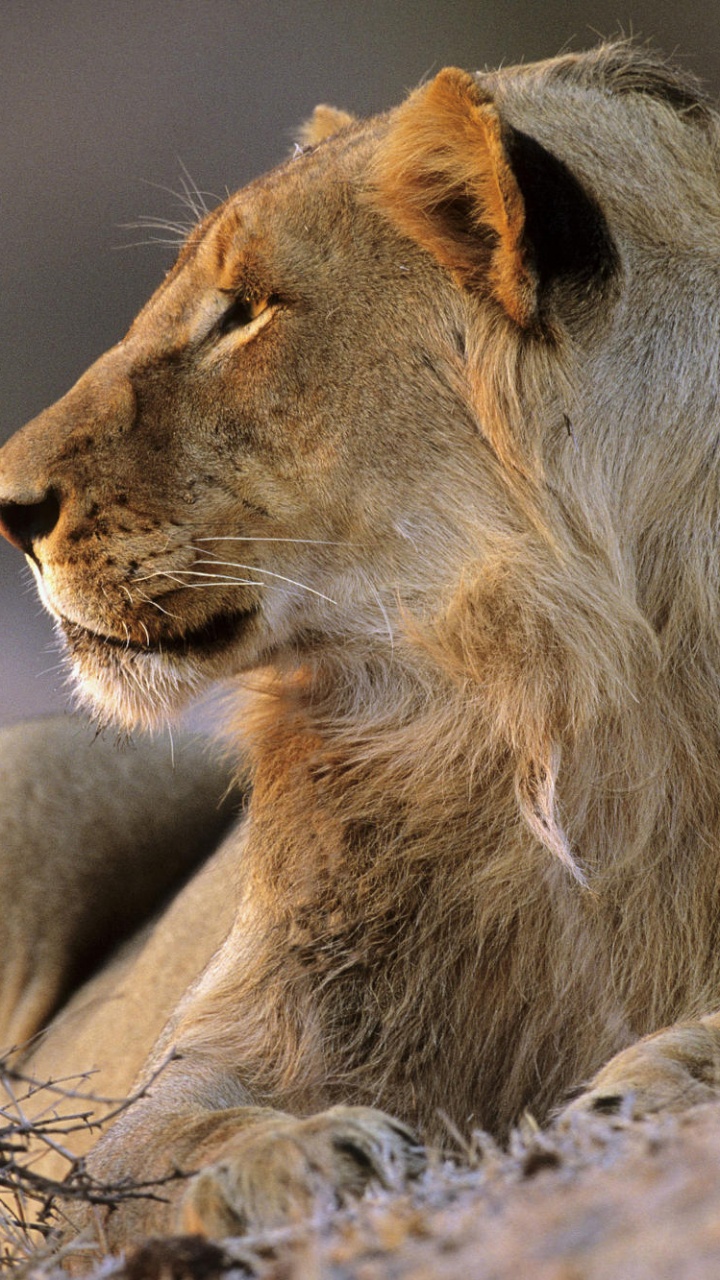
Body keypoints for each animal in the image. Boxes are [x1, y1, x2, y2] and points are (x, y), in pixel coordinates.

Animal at [1, 39, 720, 1253]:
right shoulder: (201, 1065)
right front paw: (290, 1156)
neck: (544, 698)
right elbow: (156, 1147)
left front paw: (654, 1077)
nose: (6, 507)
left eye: (245, 313)